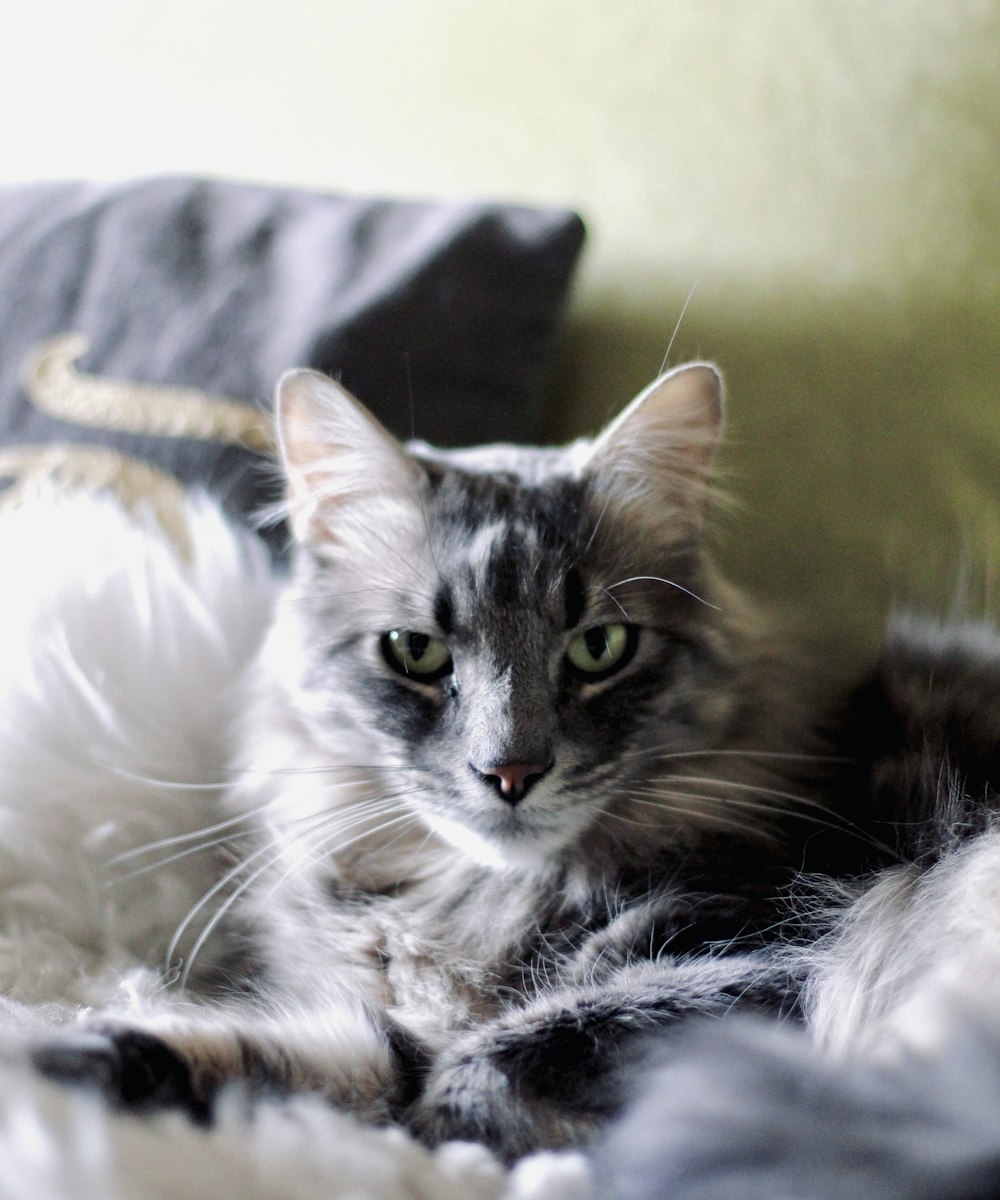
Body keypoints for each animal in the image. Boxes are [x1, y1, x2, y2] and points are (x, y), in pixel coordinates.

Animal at [35, 357, 998, 1180]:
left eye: (600, 648)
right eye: (415, 651)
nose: (510, 770)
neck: (477, 903)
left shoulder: (781, 959)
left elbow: (497, 1059)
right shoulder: (379, 1035)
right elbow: (265, 1060)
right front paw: (62, 1061)